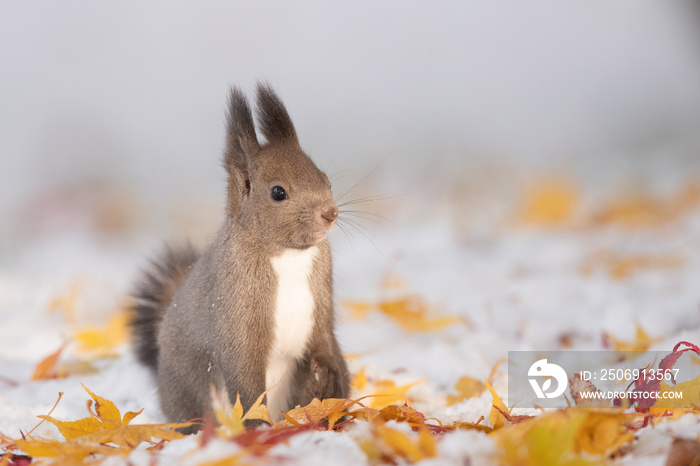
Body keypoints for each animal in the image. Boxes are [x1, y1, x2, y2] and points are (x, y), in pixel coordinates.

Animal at [128, 83, 350, 430]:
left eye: (326, 179)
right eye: (277, 192)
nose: (330, 213)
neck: (287, 253)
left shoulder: (320, 302)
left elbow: (324, 339)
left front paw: (328, 378)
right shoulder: (238, 316)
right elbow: (246, 381)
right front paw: (256, 427)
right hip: (192, 388)